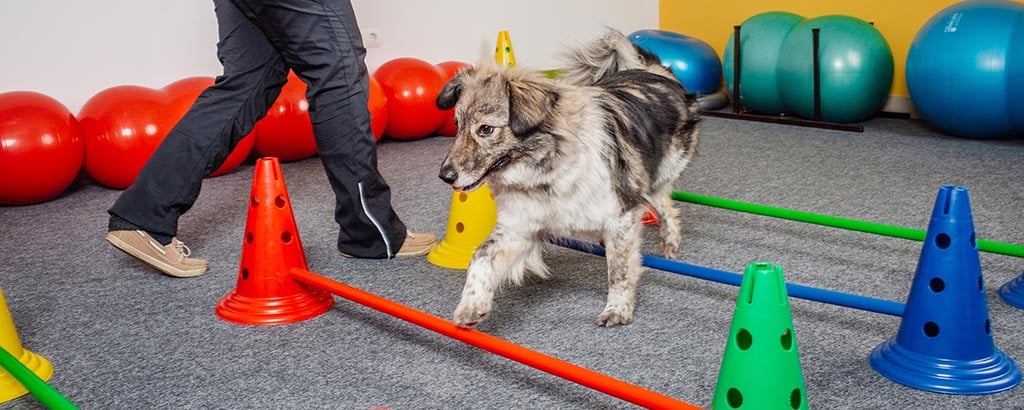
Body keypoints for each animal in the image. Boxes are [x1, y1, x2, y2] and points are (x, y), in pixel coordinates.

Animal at [436, 30, 700, 328]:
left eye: (486, 129)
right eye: (457, 125)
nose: (445, 175)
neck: (547, 169)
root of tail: (657, 72)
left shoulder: (622, 214)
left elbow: (618, 271)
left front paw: (618, 308)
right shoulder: (519, 227)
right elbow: (480, 257)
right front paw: (472, 304)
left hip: (656, 177)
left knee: (666, 205)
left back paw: (670, 242)